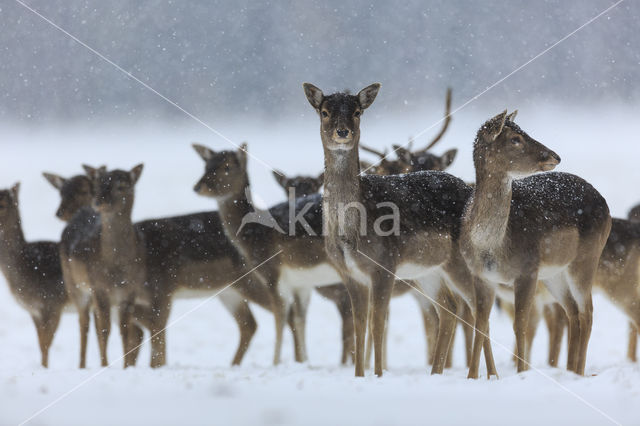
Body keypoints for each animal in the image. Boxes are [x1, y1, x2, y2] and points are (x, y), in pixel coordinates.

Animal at [0, 185, 68, 368]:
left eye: (3, 205)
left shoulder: (53, 303)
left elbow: (46, 343)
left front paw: (45, 369)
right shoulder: (34, 310)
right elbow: (40, 343)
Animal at [302, 82, 482, 376]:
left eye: (357, 111)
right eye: (325, 112)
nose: (343, 132)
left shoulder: (384, 265)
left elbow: (377, 324)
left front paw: (377, 374)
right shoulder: (348, 273)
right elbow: (360, 325)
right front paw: (359, 375)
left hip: (460, 263)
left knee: (476, 308)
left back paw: (481, 374)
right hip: (429, 271)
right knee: (449, 310)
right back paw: (436, 372)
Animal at [460, 110, 608, 376]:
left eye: (524, 132)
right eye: (515, 138)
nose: (555, 156)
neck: (492, 246)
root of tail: (606, 204)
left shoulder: (527, 268)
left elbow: (520, 324)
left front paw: (521, 373)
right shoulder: (480, 275)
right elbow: (481, 323)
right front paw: (474, 376)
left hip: (586, 259)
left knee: (587, 312)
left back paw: (579, 372)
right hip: (554, 274)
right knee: (572, 312)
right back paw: (570, 371)